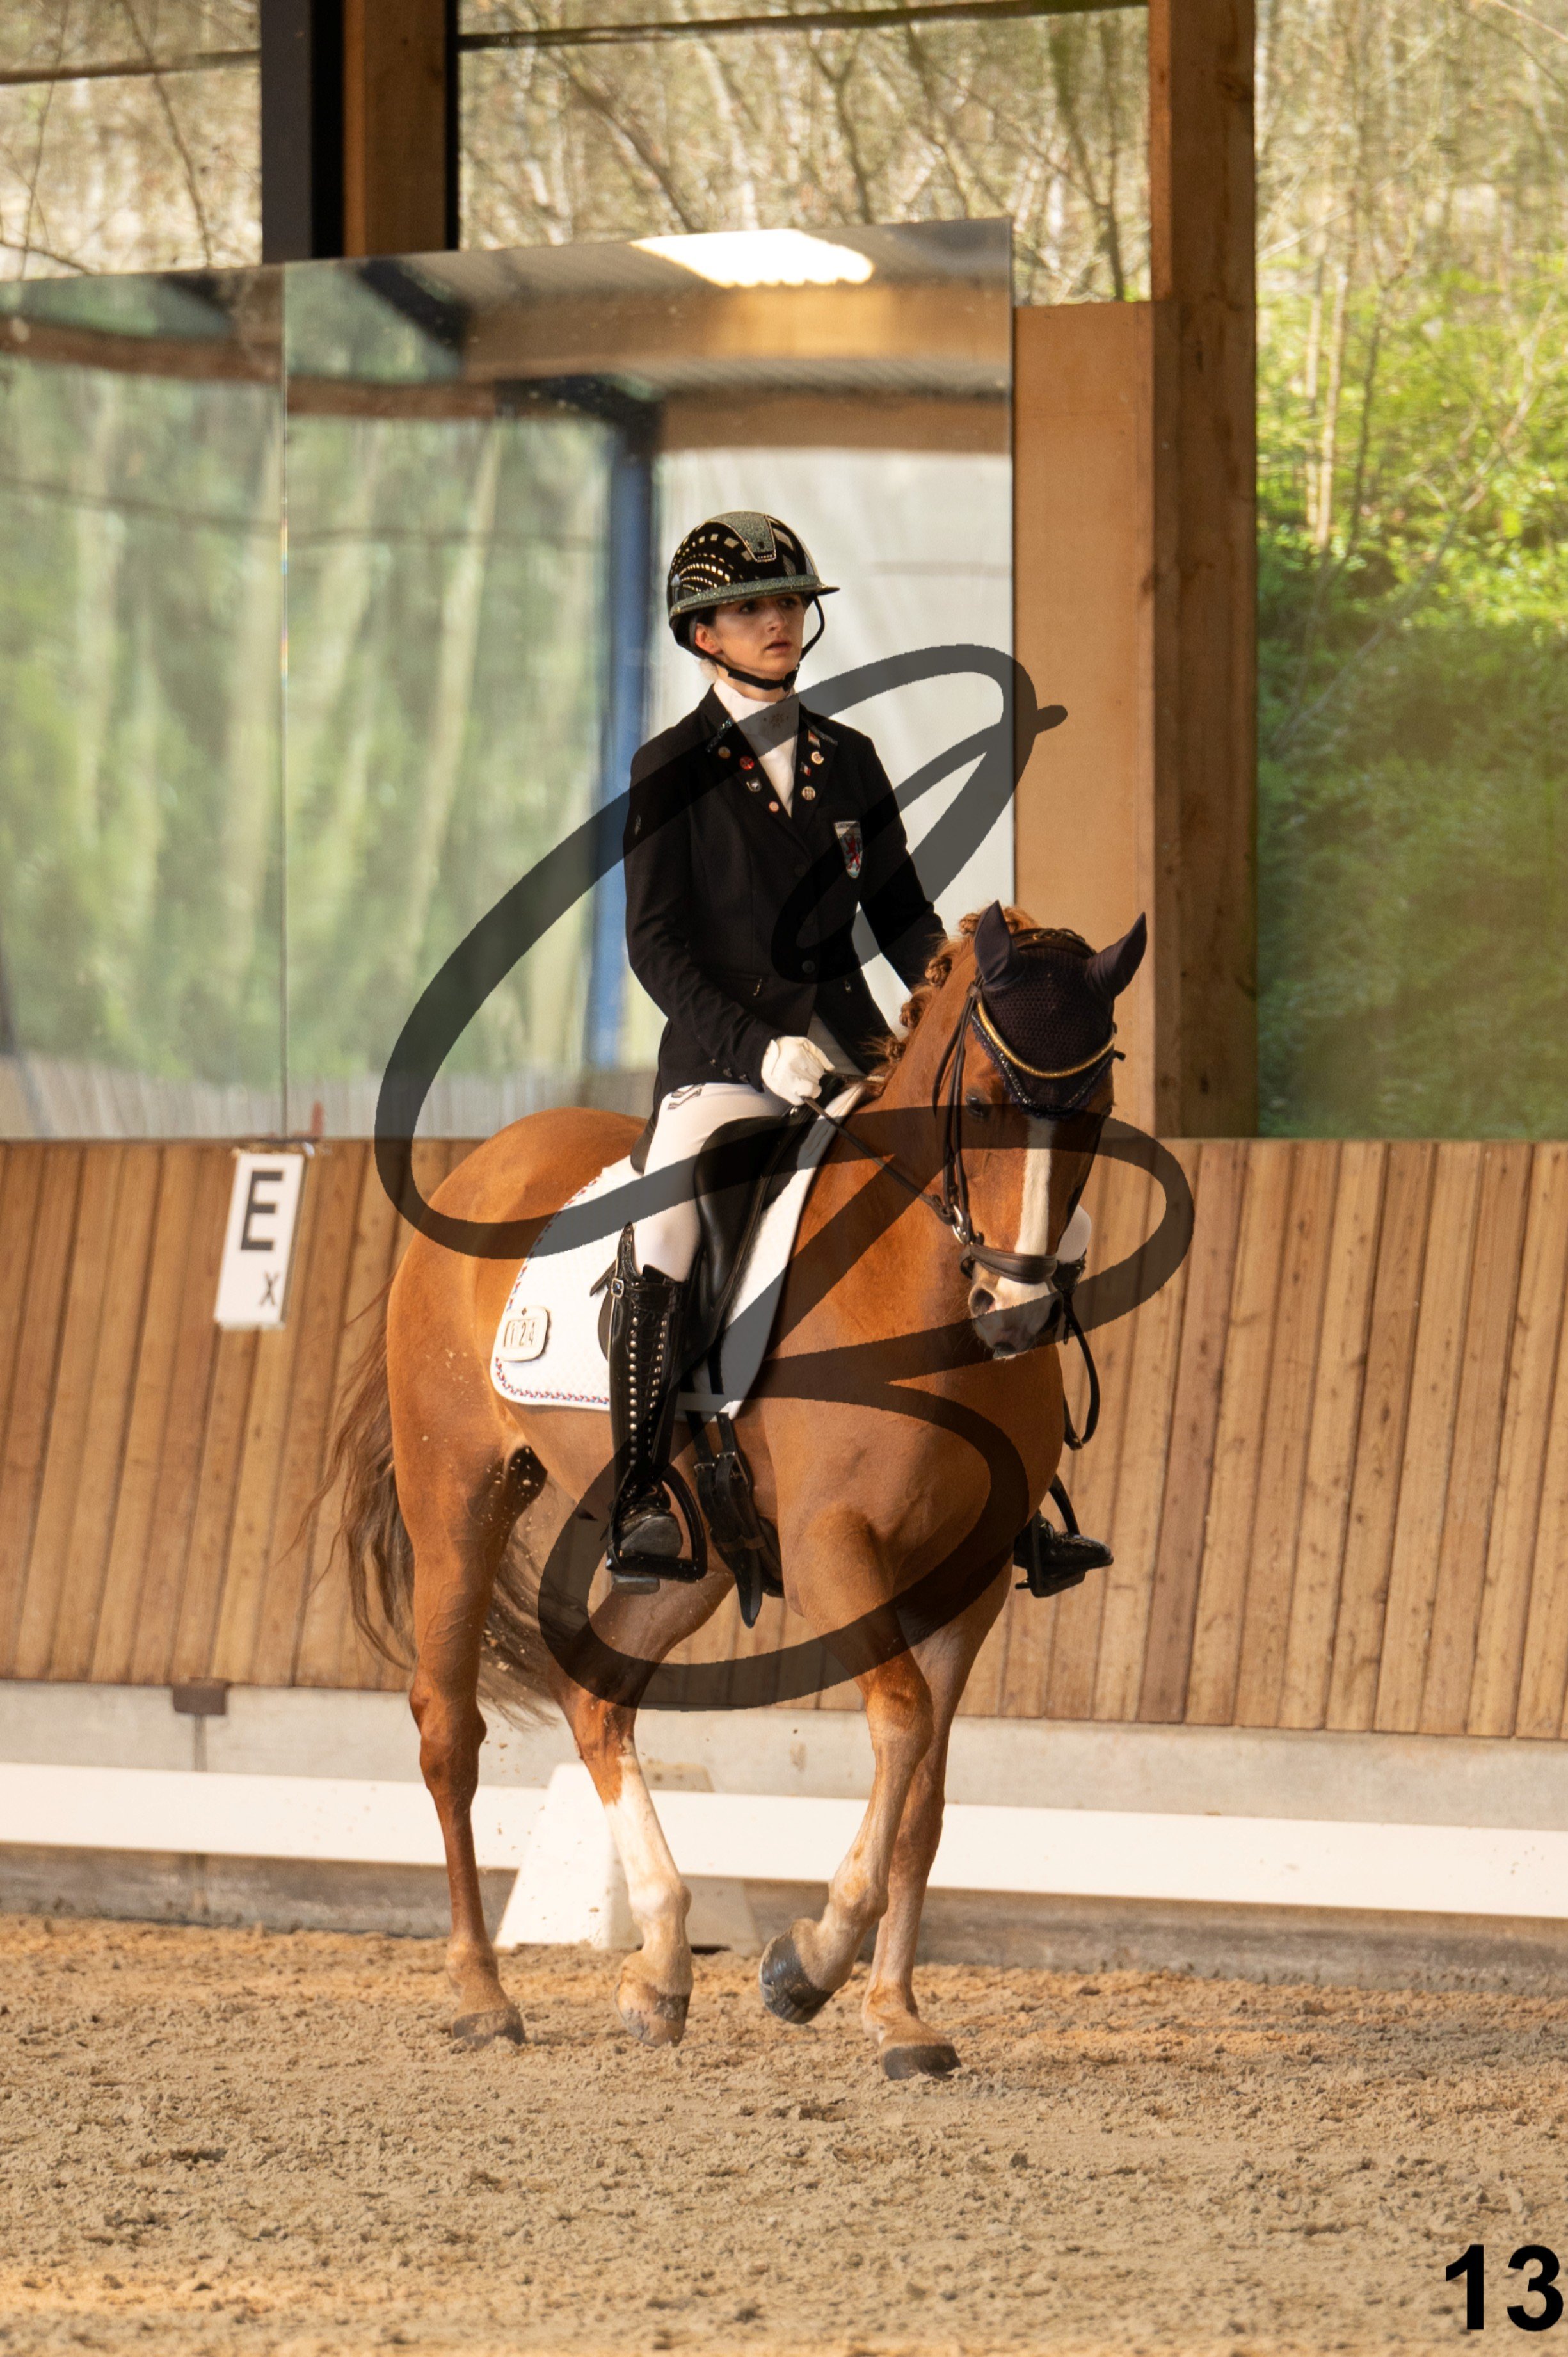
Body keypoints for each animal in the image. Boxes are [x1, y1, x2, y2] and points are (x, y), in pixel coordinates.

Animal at [331, 901, 1145, 2079]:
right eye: (990, 1102)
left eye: (1094, 1110)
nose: (1018, 1312)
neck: (917, 1295)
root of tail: (483, 1166)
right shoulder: (832, 1546)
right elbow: (901, 1720)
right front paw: (808, 1963)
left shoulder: (973, 1577)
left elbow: (927, 1793)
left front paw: (896, 2013)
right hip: (460, 1499)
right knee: (449, 1730)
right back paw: (483, 1992)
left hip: (696, 1559)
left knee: (597, 1692)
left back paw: (662, 1963)